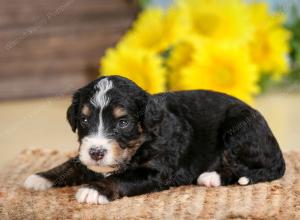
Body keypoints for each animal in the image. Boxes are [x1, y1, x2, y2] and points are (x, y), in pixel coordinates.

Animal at [24, 75, 284, 205]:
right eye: (84, 120)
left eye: (123, 123)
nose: (96, 153)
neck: (144, 138)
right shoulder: (84, 156)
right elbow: (73, 163)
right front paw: (41, 177)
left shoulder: (157, 171)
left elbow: (123, 177)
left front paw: (94, 190)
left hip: (237, 131)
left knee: (249, 168)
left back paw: (212, 176)